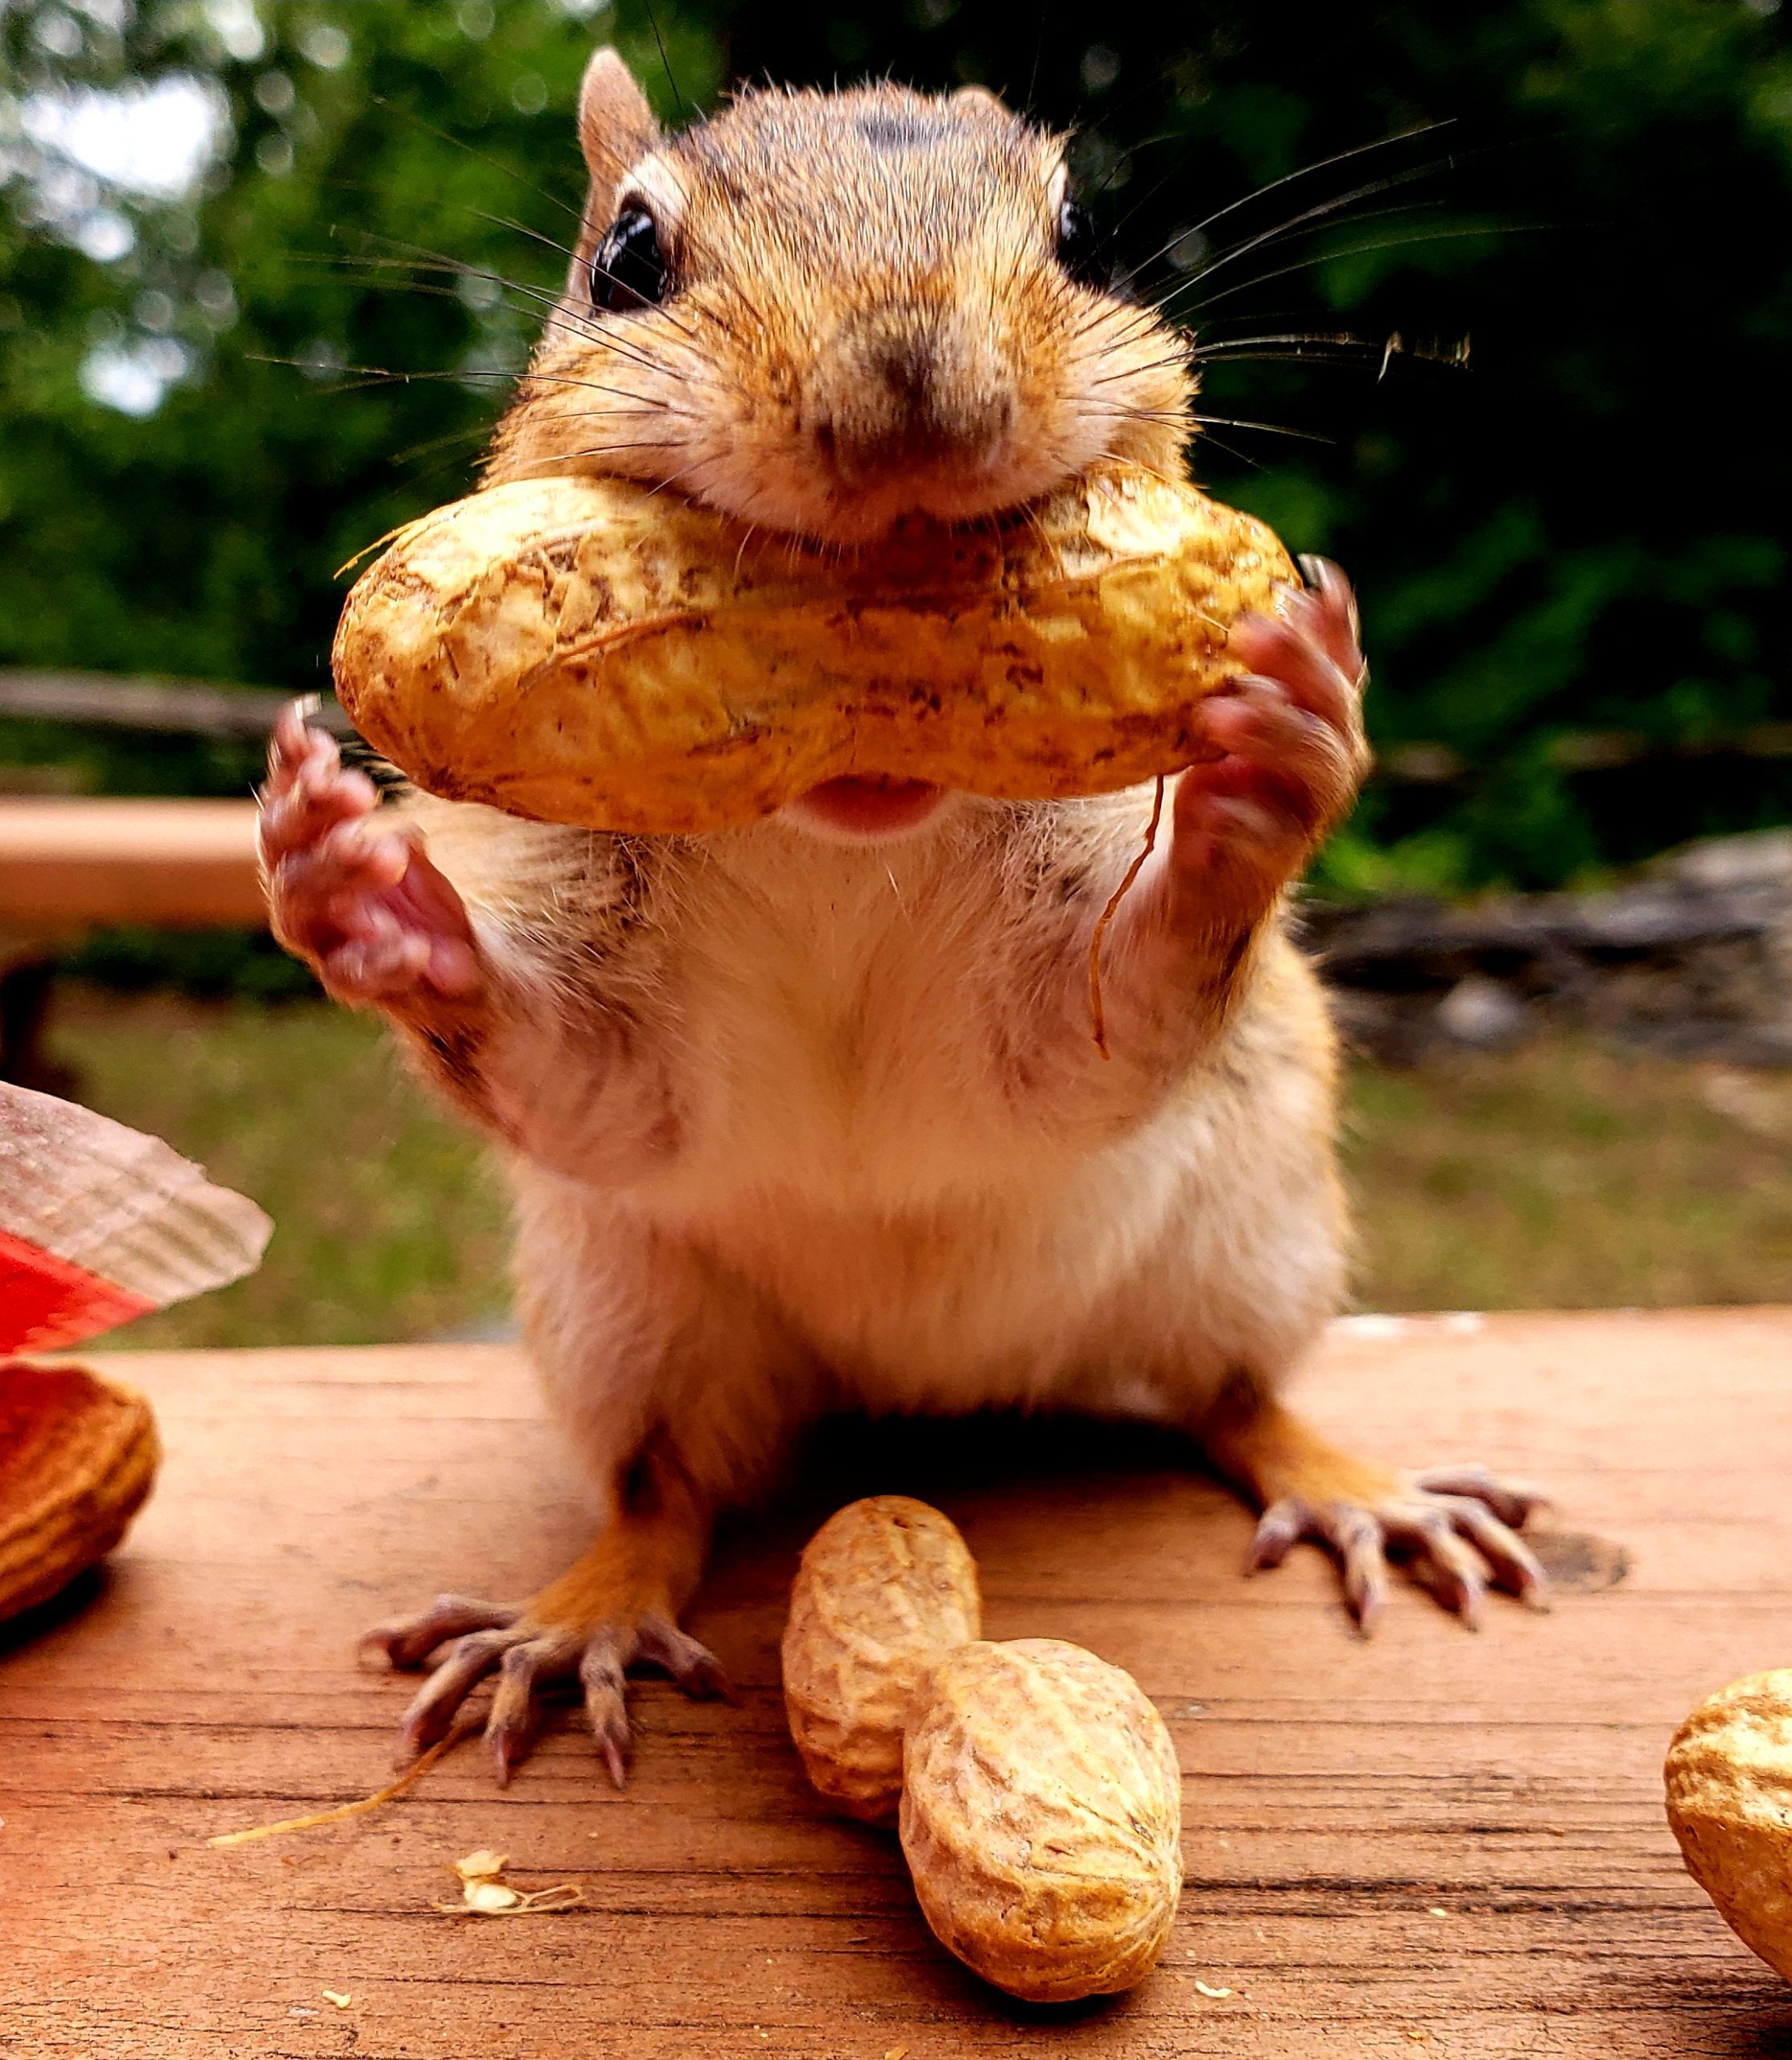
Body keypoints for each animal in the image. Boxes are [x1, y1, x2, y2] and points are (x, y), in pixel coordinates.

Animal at [260, 51, 1546, 1787]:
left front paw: (1268, 765)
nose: (907, 395)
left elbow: (1107, 1024)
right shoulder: (608, 1005)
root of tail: (931, 1393)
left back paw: (1356, 1484)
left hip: (1252, 1236)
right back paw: (579, 1614)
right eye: (626, 258)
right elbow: (589, 1087)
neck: (841, 841)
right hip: (626, 1317)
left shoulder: (1063, 999)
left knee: (1232, 1397)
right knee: (665, 1490)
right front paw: (360, 891)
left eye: (1088, 234)